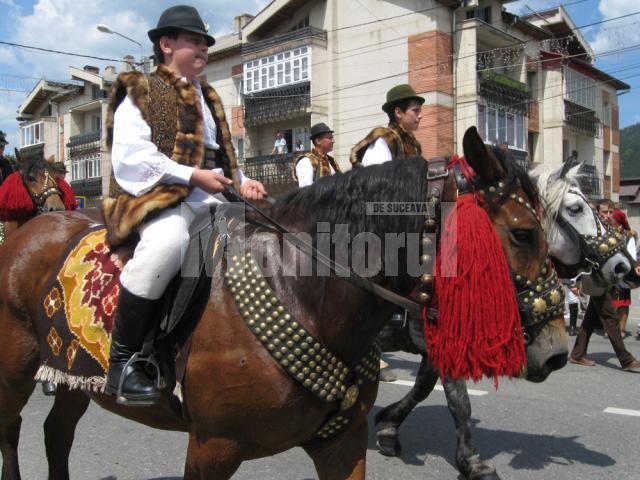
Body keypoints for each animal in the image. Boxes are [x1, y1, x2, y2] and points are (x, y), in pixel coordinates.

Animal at [0, 128, 564, 480]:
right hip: (16, 370)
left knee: (56, 433)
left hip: (72, 374)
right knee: (14, 430)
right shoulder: (211, 448)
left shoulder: (341, 446)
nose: (558, 350)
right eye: (523, 232)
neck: (304, 292)